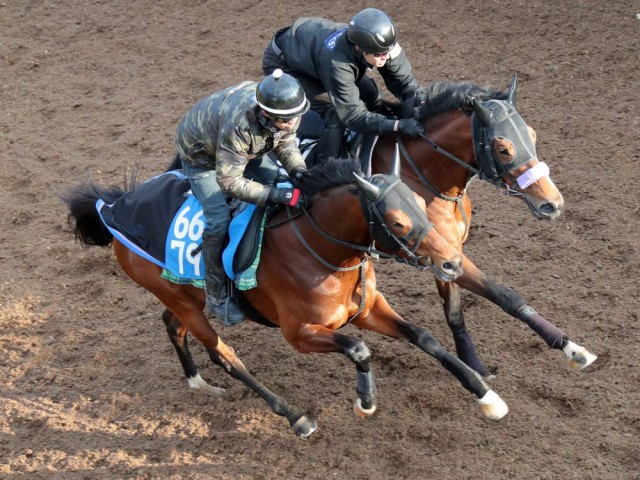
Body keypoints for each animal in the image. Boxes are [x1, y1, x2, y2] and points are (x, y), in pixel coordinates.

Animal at [61, 158, 510, 438]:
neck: (322, 251)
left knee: (173, 326)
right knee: (224, 354)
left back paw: (196, 381)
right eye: (397, 221)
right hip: (186, 301)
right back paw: (295, 417)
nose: (452, 262)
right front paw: (365, 401)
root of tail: (113, 205)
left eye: (419, 202)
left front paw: (487, 397)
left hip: (184, 297)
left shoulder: (368, 309)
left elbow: (425, 337)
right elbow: (359, 349)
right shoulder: (299, 333)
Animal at [368, 75, 596, 376]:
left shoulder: (448, 256)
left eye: (533, 135)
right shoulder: (441, 256)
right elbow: (498, 295)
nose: (553, 204)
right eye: (503, 149)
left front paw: (475, 365)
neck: (420, 174)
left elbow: (468, 309)